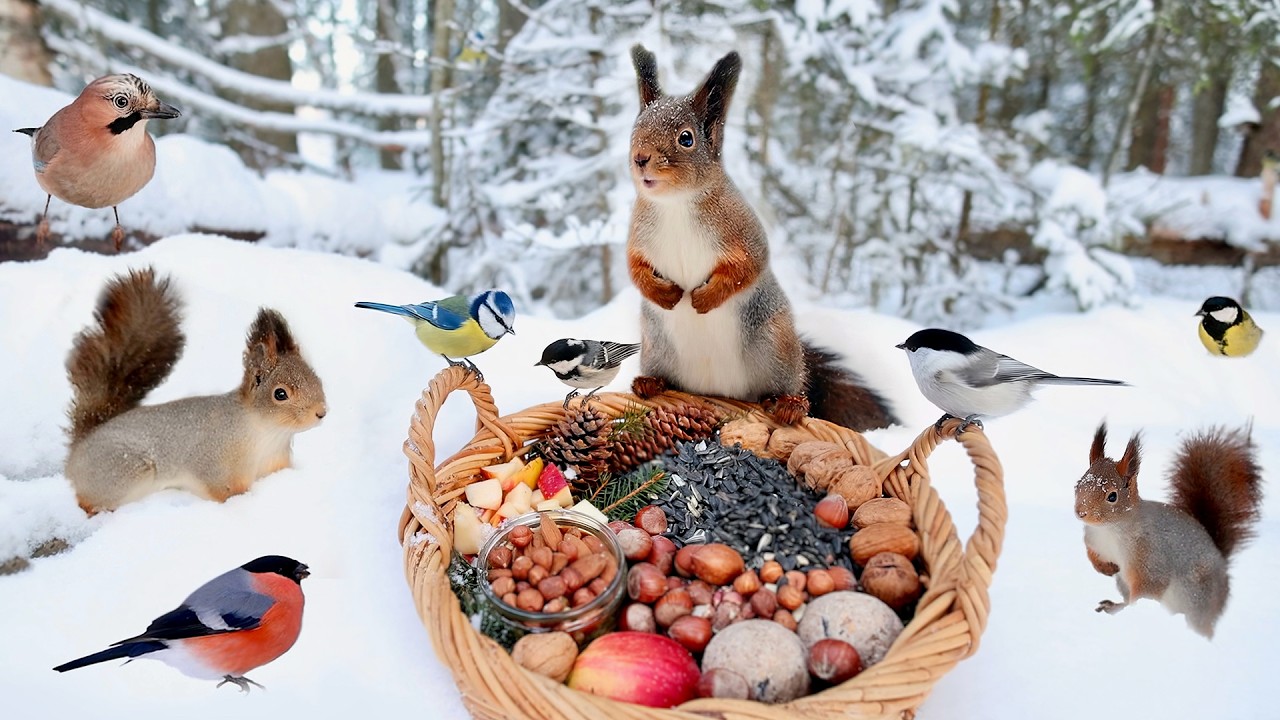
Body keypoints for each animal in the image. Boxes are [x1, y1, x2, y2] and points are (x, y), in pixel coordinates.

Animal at [64, 267, 328, 513]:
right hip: (123, 471)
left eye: (318, 379)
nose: (321, 412)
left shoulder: (275, 464)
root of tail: (80, 446)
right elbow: (224, 491)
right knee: (87, 501)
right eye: (280, 394)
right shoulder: (216, 465)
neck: (267, 433)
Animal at [624, 45, 895, 431]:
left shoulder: (744, 231)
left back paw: (789, 405)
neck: (675, 204)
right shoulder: (638, 236)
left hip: (775, 345)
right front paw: (664, 293)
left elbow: (747, 266)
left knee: (791, 389)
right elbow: (635, 268)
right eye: (636, 129)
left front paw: (703, 299)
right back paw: (650, 383)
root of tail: (720, 391)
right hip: (655, 344)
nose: (640, 158)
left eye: (686, 138)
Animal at [1075, 421, 1263, 638]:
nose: (1081, 513)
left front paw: (1132, 609)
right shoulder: (1093, 540)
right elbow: (1092, 556)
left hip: (1196, 598)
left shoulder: (1150, 553)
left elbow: (1149, 586)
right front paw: (1105, 568)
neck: (1109, 530)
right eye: (1078, 485)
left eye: (1112, 496)